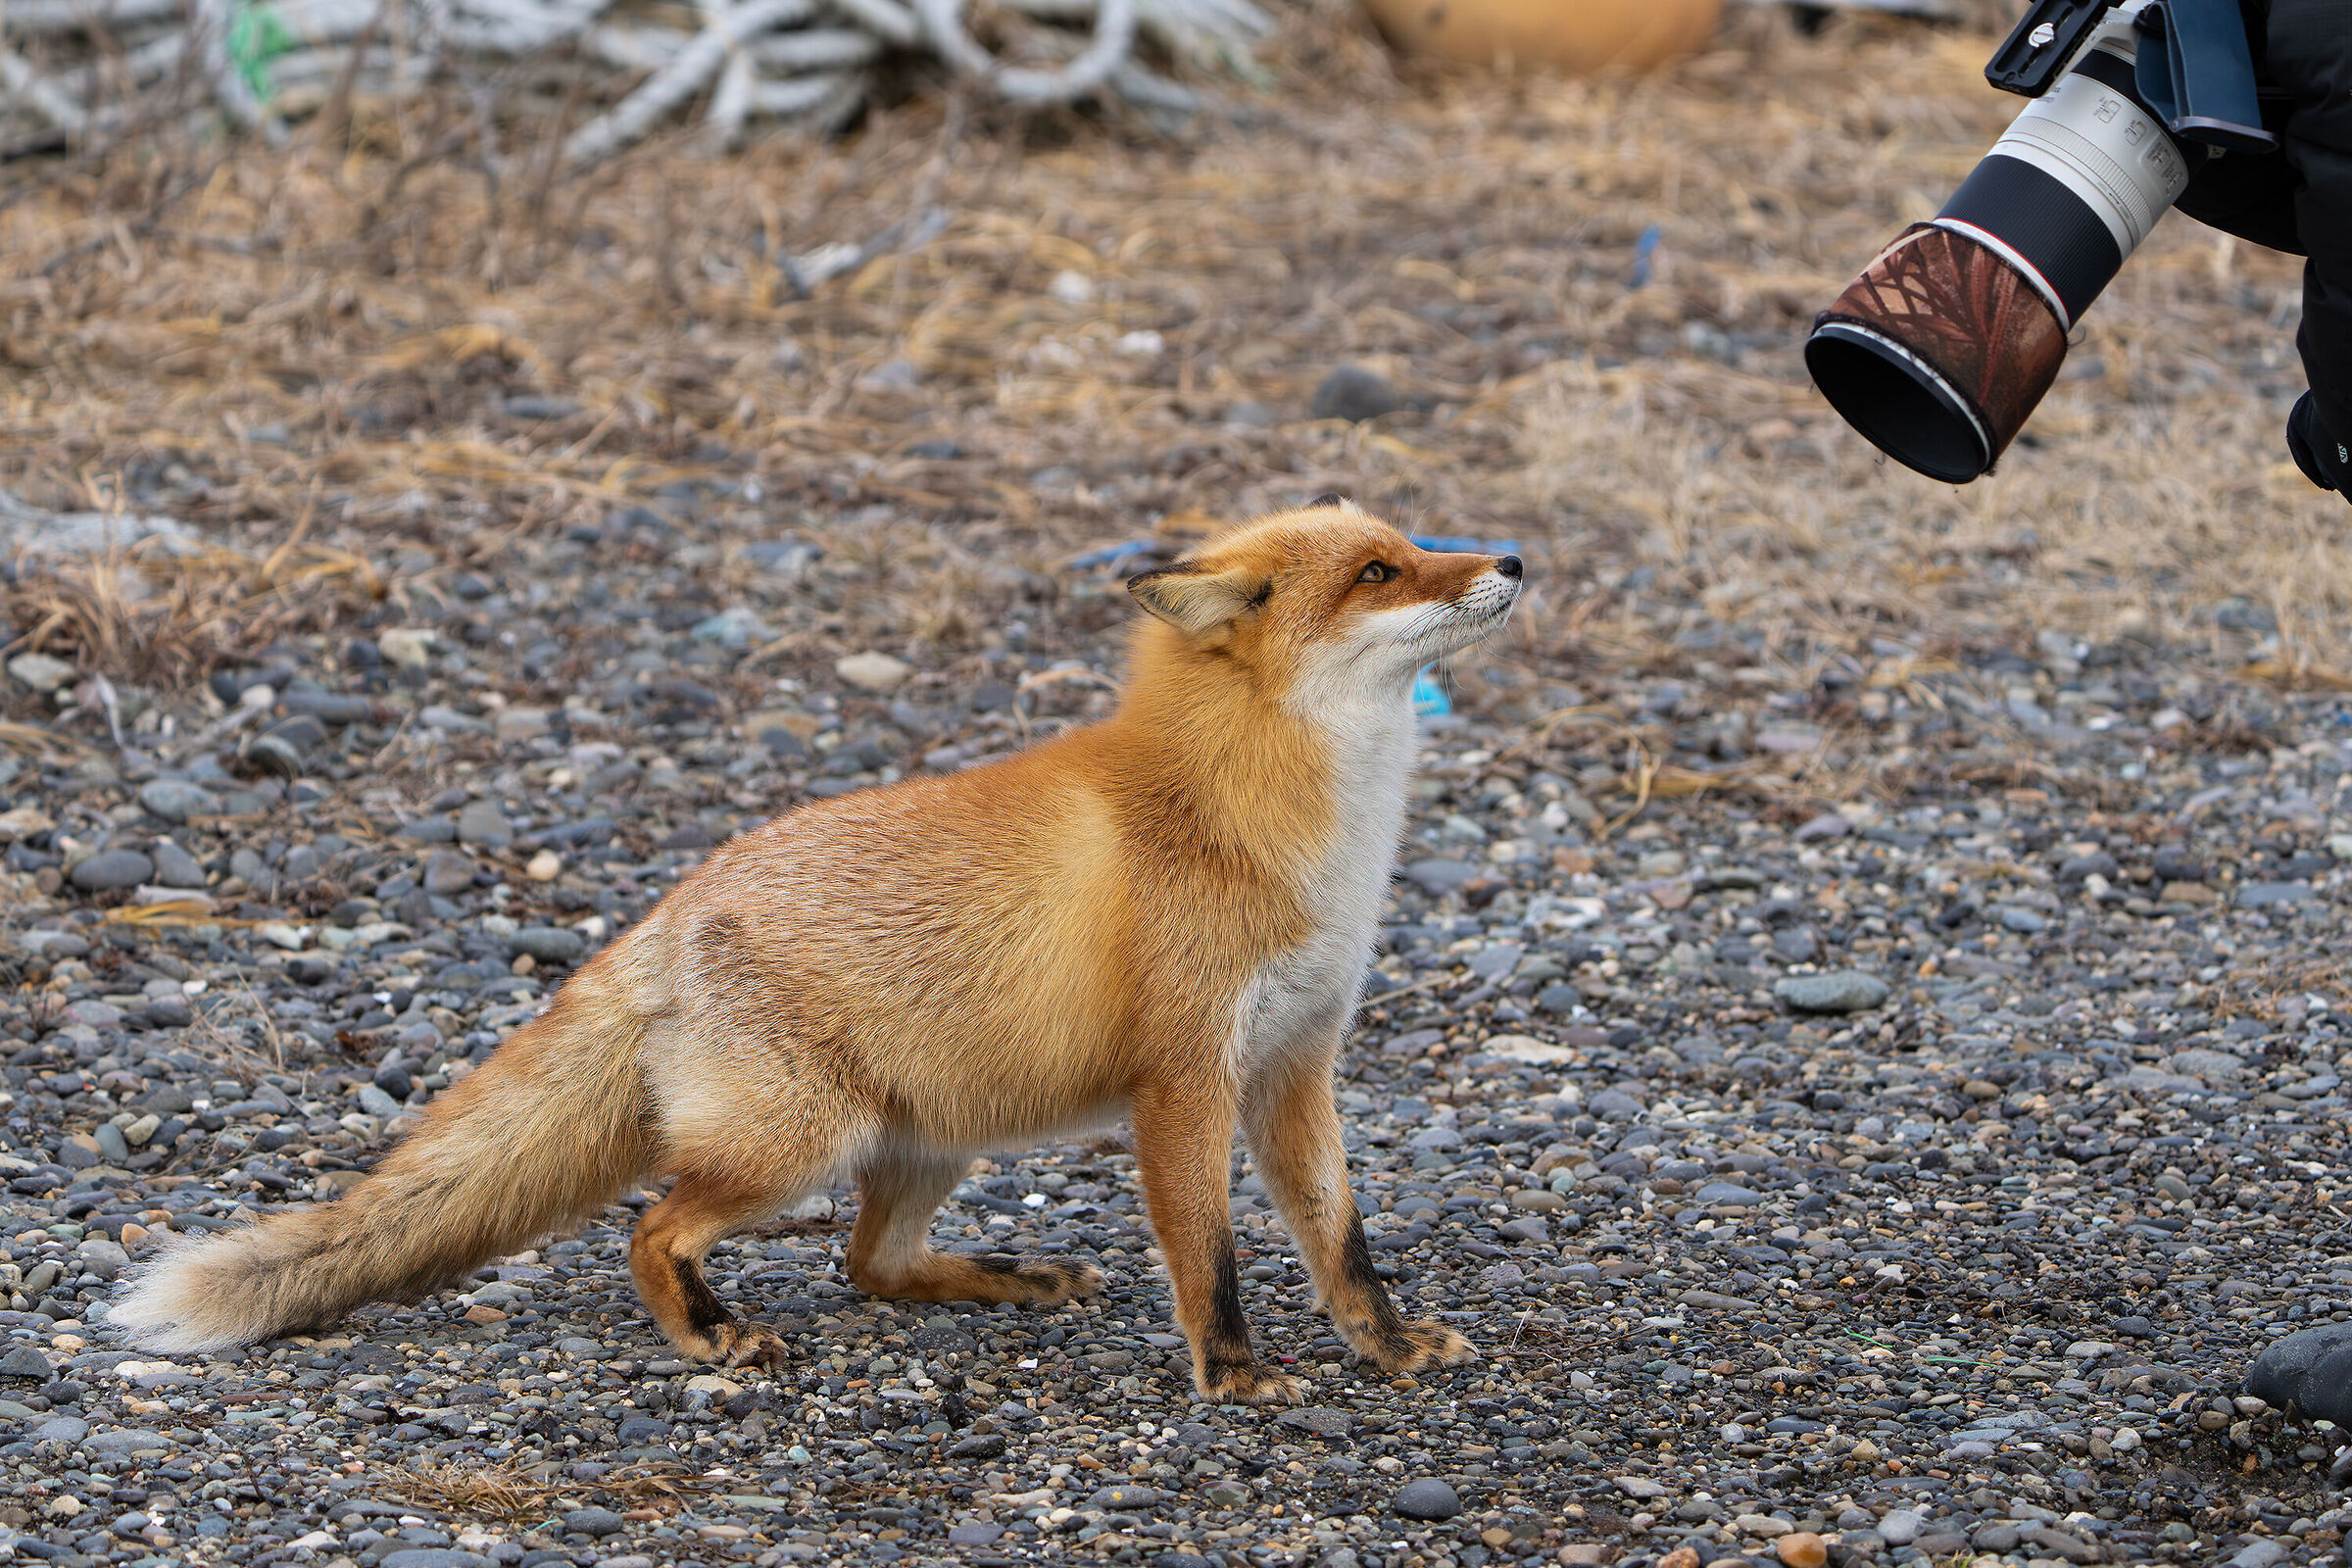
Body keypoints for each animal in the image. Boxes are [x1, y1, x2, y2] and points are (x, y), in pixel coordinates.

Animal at [111, 497, 1523, 1405]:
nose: (1512, 554)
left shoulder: (1295, 1066)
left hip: (930, 1138)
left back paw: (1007, 1275)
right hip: (801, 1140)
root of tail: (670, 911)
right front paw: (1231, 1377)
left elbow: (1343, 1243)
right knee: (658, 1227)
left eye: (1415, 547)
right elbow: (1210, 1256)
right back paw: (710, 1339)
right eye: (1379, 573)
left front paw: (1390, 1353)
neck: (1275, 826)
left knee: (868, 1263)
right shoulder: (1185, 1080)